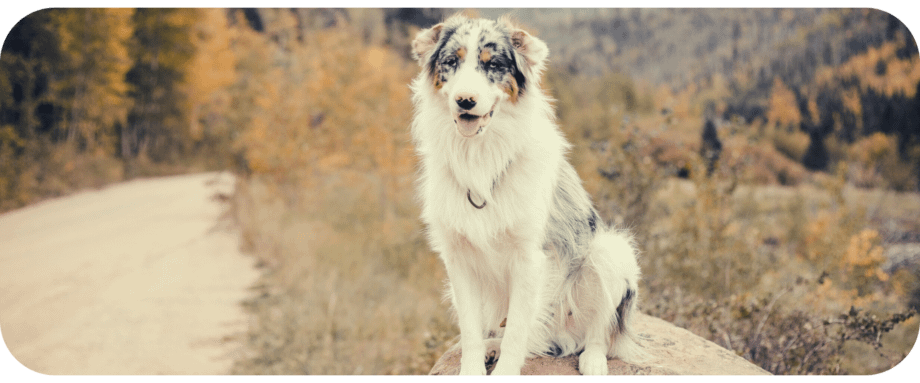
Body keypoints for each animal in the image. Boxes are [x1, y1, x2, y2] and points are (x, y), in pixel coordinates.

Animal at [408, 13, 640, 376]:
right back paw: (493, 346)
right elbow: (471, 331)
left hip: (609, 251)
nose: (465, 101)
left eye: (493, 65)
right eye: (451, 62)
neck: (481, 158)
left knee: (599, 332)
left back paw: (592, 359)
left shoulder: (529, 259)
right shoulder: (458, 258)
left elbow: (518, 330)